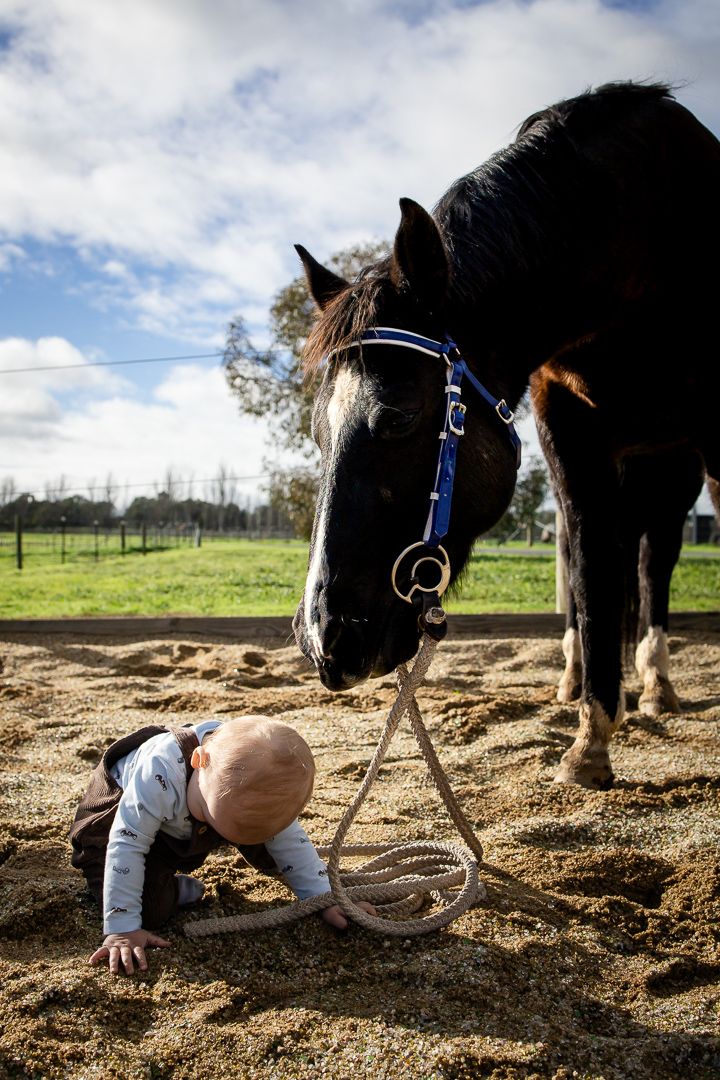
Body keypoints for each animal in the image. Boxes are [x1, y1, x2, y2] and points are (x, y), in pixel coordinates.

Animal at [292, 83, 720, 790]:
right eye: (318, 431)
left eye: (400, 415)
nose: (325, 639)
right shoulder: (567, 434)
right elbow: (592, 574)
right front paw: (591, 743)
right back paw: (579, 682)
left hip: (675, 469)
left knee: (653, 562)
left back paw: (656, 684)